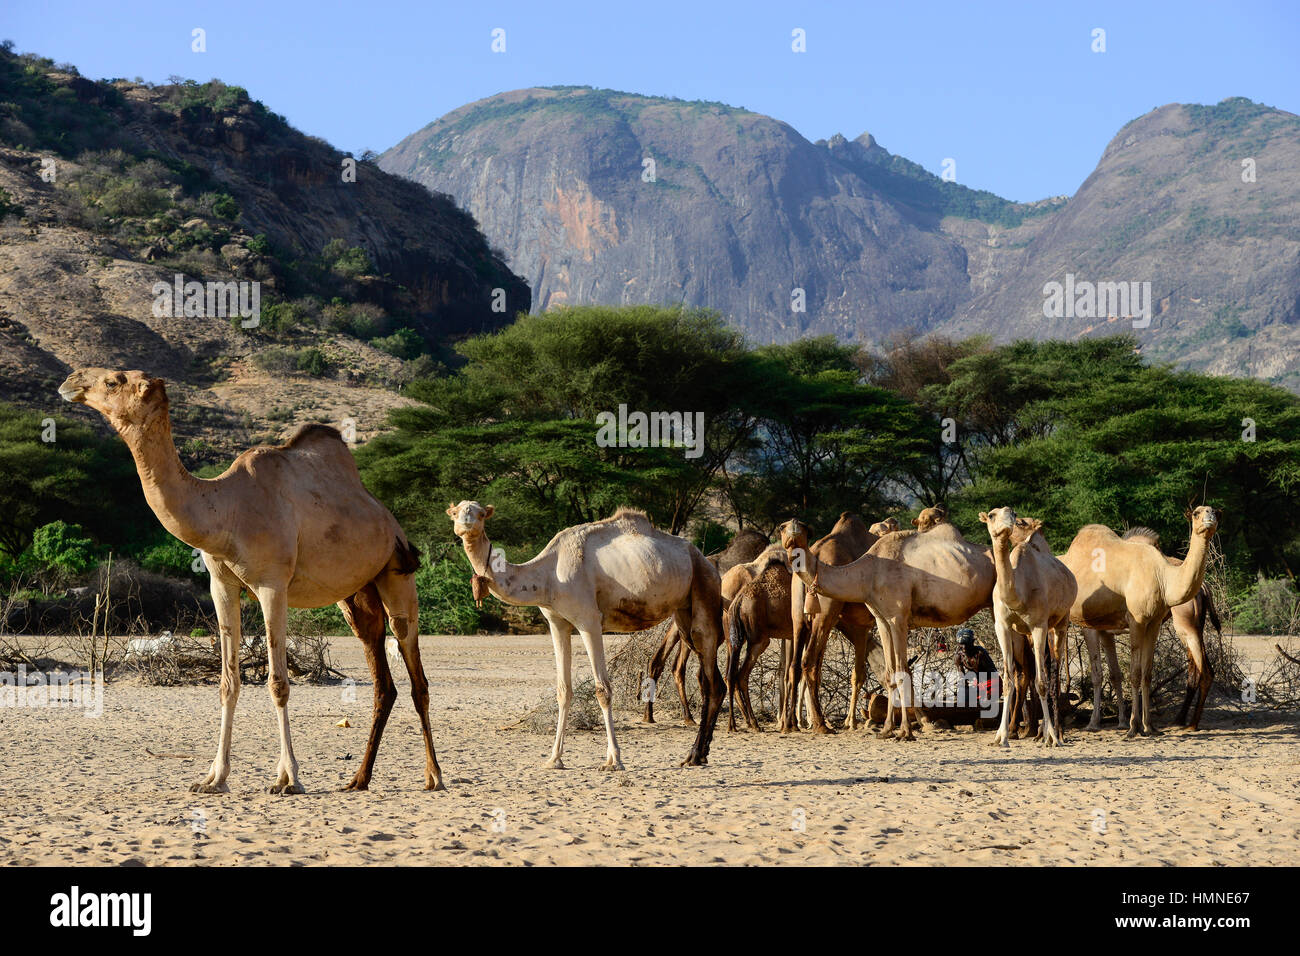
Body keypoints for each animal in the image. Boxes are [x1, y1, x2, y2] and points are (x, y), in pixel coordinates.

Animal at [59, 368, 440, 794]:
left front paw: (288, 779)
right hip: (357, 594)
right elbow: (228, 681)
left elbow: (278, 682)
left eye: (114, 381)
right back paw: (358, 779)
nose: (71, 382)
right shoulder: (221, 583)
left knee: (416, 673)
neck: (226, 509)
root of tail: (389, 520)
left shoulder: (273, 584)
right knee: (382, 677)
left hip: (396, 573)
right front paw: (213, 778)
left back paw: (434, 776)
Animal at [447, 501, 725, 767]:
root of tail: (707, 562)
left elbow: (603, 689)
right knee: (711, 680)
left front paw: (614, 760)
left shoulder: (589, 620)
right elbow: (563, 690)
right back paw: (700, 754)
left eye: (480, 513)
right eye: (456, 511)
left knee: (712, 679)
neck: (548, 575)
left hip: (704, 587)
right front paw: (554, 759)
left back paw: (694, 755)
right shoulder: (556, 622)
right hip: (683, 612)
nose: (466, 523)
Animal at [780, 516, 995, 739]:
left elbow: (898, 671)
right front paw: (890, 729)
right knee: (804, 663)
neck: (868, 572)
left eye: (804, 527)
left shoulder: (895, 618)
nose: (793, 527)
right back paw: (807, 724)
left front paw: (907, 729)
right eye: (782, 527)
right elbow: (891, 671)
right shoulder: (882, 619)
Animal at [979, 508, 1077, 747]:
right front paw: (1001, 737)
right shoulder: (1003, 627)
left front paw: (1051, 737)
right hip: (1029, 636)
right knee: (1035, 669)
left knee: (1054, 670)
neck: (1018, 594)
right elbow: (1008, 681)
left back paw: (1056, 734)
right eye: (992, 515)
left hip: (1061, 622)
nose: (1008, 521)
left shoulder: (1039, 625)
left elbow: (1042, 682)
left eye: (1013, 513)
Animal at [1062, 507, 1220, 737]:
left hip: (1187, 625)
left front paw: (1140, 726)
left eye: (1215, 511)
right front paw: (1134, 725)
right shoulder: (1128, 623)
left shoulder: (1144, 623)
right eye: (1197, 513)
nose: (1210, 517)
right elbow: (1125, 674)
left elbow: (1137, 674)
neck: (1163, 577)